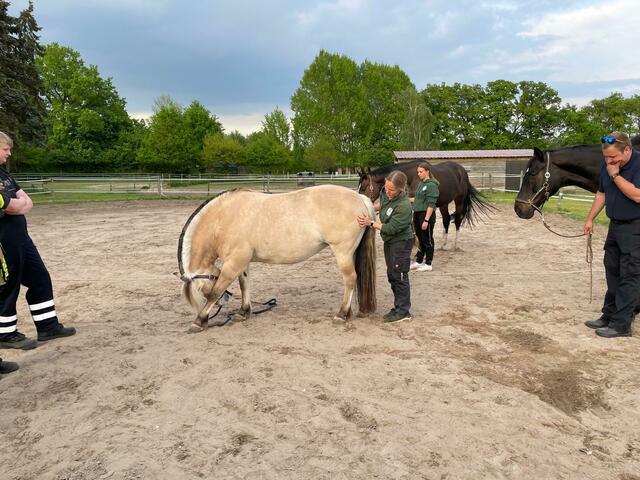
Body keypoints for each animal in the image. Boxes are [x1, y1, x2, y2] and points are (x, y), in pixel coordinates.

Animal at [177, 185, 377, 332]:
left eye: (202, 288)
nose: (225, 300)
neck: (224, 218)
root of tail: (360, 198)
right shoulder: (242, 262)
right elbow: (244, 285)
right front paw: (243, 312)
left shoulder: (233, 263)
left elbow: (216, 291)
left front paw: (199, 321)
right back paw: (348, 313)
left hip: (342, 252)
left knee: (350, 279)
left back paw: (341, 314)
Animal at [357, 160, 495, 250]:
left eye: (363, 187)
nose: (360, 200)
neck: (412, 177)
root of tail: (462, 171)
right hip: (444, 203)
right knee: (446, 220)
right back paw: (443, 244)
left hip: (459, 200)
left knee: (457, 220)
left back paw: (455, 245)